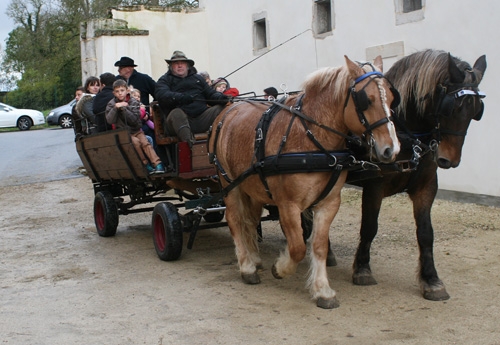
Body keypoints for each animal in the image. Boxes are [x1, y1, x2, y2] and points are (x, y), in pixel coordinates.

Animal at [209, 55, 400, 308]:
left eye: (391, 97)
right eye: (366, 100)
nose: (391, 149)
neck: (313, 140)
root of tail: (229, 109)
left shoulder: (329, 203)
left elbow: (318, 246)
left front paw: (322, 290)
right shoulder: (288, 205)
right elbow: (298, 247)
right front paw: (280, 268)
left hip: (252, 186)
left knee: (250, 220)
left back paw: (254, 257)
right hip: (229, 182)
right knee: (235, 220)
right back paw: (247, 267)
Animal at [346, 49, 486, 300]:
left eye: (476, 110)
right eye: (452, 107)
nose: (449, 160)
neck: (408, 138)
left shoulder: (426, 186)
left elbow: (426, 233)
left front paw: (431, 279)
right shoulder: (374, 187)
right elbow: (369, 227)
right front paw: (362, 268)